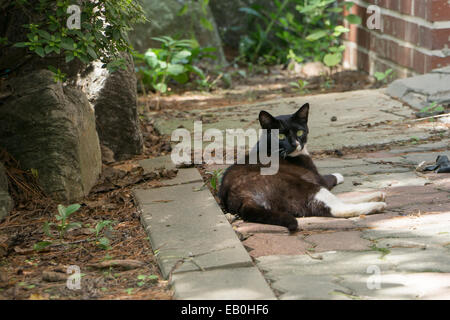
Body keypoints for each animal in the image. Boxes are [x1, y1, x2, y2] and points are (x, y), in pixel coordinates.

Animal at [218, 104, 386, 231]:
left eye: (299, 131)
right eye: (280, 136)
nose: (294, 144)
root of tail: (242, 197)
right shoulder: (316, 177)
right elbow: (329, 178)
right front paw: (339, 175)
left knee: (340, 200)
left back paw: (377, 195)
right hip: (302, 186)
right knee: (335, 208)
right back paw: (377, 205)